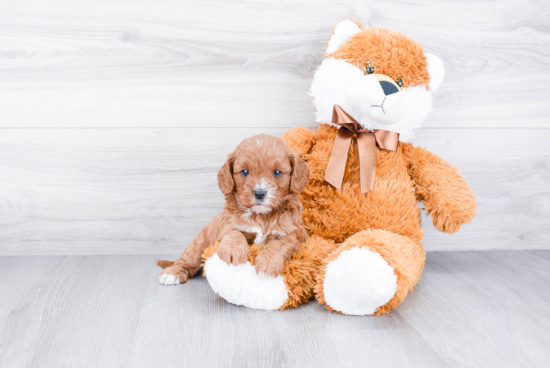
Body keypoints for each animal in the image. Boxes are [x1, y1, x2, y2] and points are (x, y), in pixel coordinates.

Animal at [157, 134, 310, 284]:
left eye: (277, 172)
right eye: (245, 171)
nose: (259, 193)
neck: (260, 215)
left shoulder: (292, 235)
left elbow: (278, 245)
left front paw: (268, 264)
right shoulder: (228, 224)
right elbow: (233, 233)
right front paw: (233, 252)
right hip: (200, 244)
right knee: (186, 261)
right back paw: (173, 273)